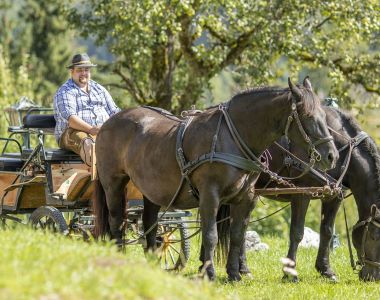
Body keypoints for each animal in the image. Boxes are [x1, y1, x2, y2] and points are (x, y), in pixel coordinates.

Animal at [93, 77, 338, 282]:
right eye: (308, 117)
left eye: (325, 117)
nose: (332, 156)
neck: (232, 137)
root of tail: (108, 123)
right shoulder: (210, 195)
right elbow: (210, 235)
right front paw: (209, 273)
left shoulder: (245, 197)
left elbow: (237, 235)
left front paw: (234, 274)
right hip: (113, 183)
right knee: (116, 221)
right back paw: (118, 258)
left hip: (151, 190)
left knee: (150, 225)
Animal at [214, 105, 380, 282]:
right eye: (374, 236)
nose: (373, 277)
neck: (340, 147)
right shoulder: (302, 193)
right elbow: (297, 233)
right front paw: (290, 273)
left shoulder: (334, 196)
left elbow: (327, 231)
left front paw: (325, 269)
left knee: (241, 227)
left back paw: (244, 269)